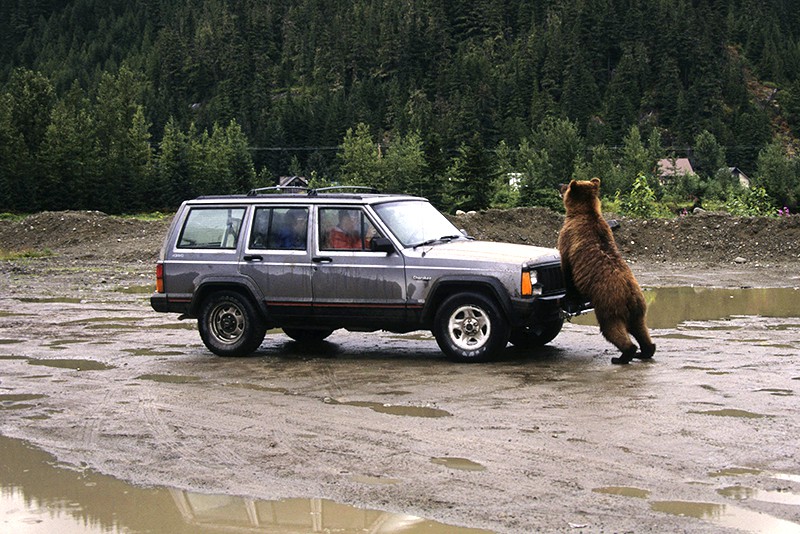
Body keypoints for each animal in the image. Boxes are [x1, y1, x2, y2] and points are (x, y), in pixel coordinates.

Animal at [556, 178, 656, 366]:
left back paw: (622, 355)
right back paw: (645, 351)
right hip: (639, 308)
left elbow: (566, 269)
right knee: (640, 328)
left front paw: (568, 297)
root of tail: (630, 294)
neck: (583, 212)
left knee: (611, 329)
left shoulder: (568, 238)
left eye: (567, 185)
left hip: (609, 303)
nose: (559, 185)